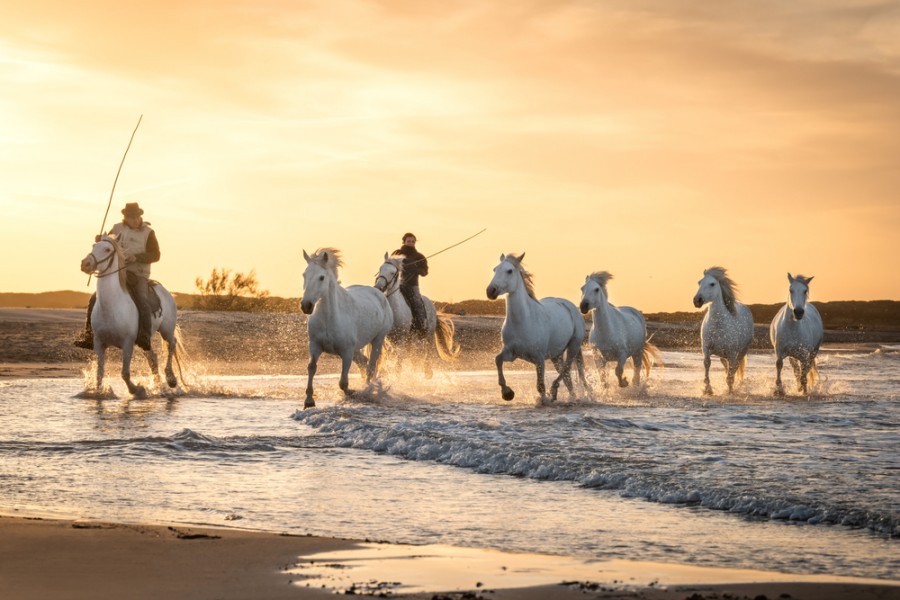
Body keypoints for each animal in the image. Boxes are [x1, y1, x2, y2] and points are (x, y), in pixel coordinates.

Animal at [80, 236, 180, 398]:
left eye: (107, 249)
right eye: (94, 245)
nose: (85, 264)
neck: (112, 305)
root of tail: (164, 291)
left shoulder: (127, 343)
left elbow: (125, 373)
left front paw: (137, 389)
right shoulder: (99, 343)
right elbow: (99, 374)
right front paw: (99, 394)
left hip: (166, 330)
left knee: (171, 344)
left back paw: (171, 379)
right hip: (144, 342)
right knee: (153, 358)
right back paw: (158, 385)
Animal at [300, 247, 392, 408]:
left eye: (321, 277)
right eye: (304, 275)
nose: (306, 305)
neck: (329, 319)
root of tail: (379, 293)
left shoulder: (347, 352)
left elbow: (343, 383)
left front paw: (354, 394)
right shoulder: (315, 346)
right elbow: (311, 367)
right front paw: (309, 400)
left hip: (378, 340)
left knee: (371, 367)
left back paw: (368, 390)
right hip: (357, 349)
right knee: (364, 363)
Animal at [486, 253, 592, 404]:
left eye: (509, 271)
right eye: (495, 269)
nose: (490, 291)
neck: (523, 321)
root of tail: (571, 307)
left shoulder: (539, 359)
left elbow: (540, 385)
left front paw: (544, 400)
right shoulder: (511, 353)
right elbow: (498, 360)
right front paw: (507, 393)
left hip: (573, 347)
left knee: (567, 369)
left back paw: (555, 392)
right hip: (556, 355)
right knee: (567, 377)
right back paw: (571, 397)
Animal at [692, 266, 756, 396]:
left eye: (712, 284)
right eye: (699, 282)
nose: (697, 300)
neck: (718, 326)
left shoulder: (731, 352)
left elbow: (732, 370)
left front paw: (730, 390)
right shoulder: (706, 348)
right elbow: (707, 364)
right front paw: (708, 389)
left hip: (742, 350)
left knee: (735, 365)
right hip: (723, 354)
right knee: (726, 365)